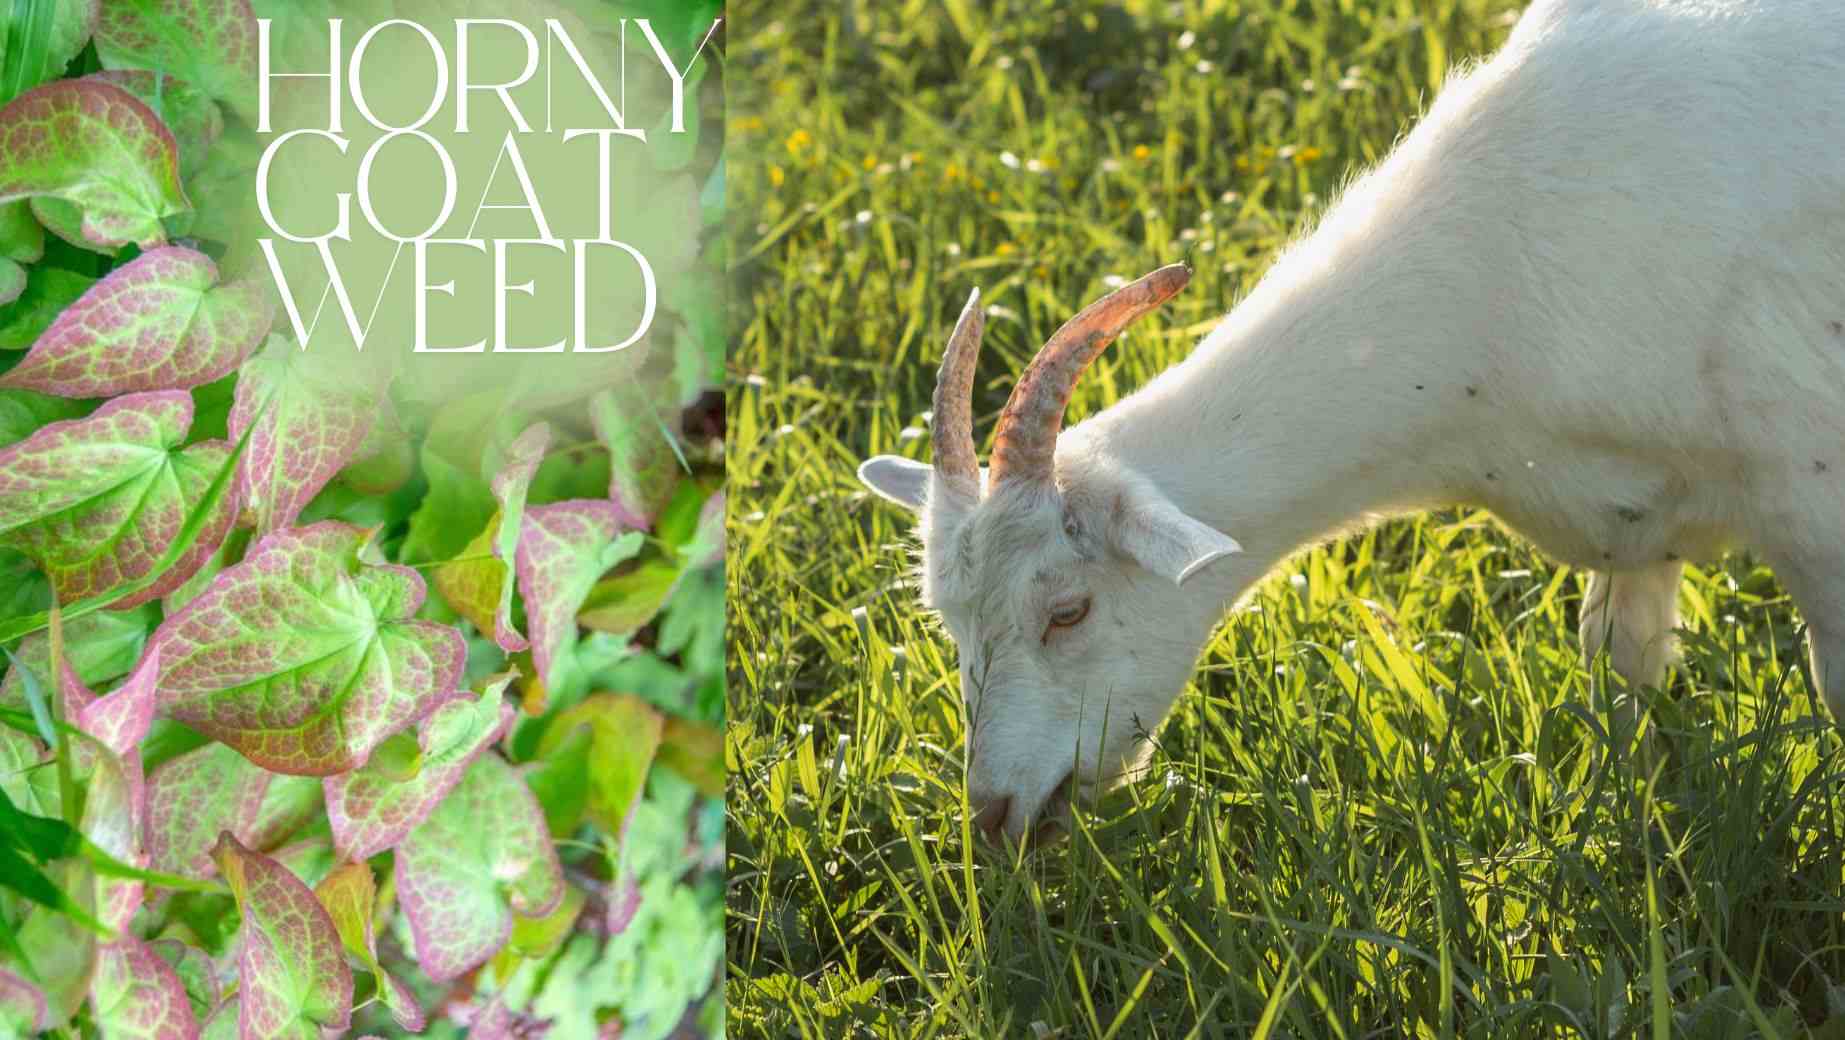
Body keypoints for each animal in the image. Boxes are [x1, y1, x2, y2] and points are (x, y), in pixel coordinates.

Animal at [857, 0, 1845, 846]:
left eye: (1068, 611)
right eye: (947, 620)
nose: (993, 815)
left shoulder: (1815, 513)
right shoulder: (1629, 528)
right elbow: (1618, 682)